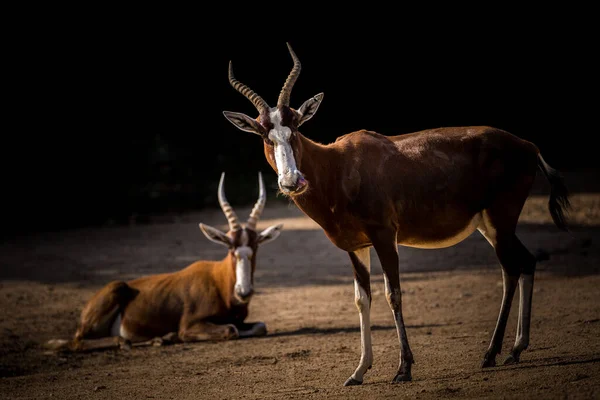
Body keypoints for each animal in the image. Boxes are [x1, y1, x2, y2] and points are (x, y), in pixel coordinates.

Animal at [46, 170, 282, 352]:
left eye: (256, 247)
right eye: (230, 248)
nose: (244, 292)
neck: (220, 281)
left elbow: (260, 326)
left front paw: (168, 336)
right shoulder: (190, 324)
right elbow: (230, 329)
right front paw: (174, 336)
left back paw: (159, 339)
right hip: (107, 302)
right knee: (77, 342)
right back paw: (128, 341)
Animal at [223, 43, 568, 384]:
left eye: (294, 128)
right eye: (264, 135)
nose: (292, 181)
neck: (340, 165)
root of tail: (528, 146)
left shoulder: (385, 236)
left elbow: (393, 294)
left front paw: (403, 369)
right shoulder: (356, 246)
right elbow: (362, 299)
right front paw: (358, 372)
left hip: (500, 220)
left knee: (510, 270)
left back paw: (491, 354)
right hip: (491, 225)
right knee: (526, 262)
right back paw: (515, 350)